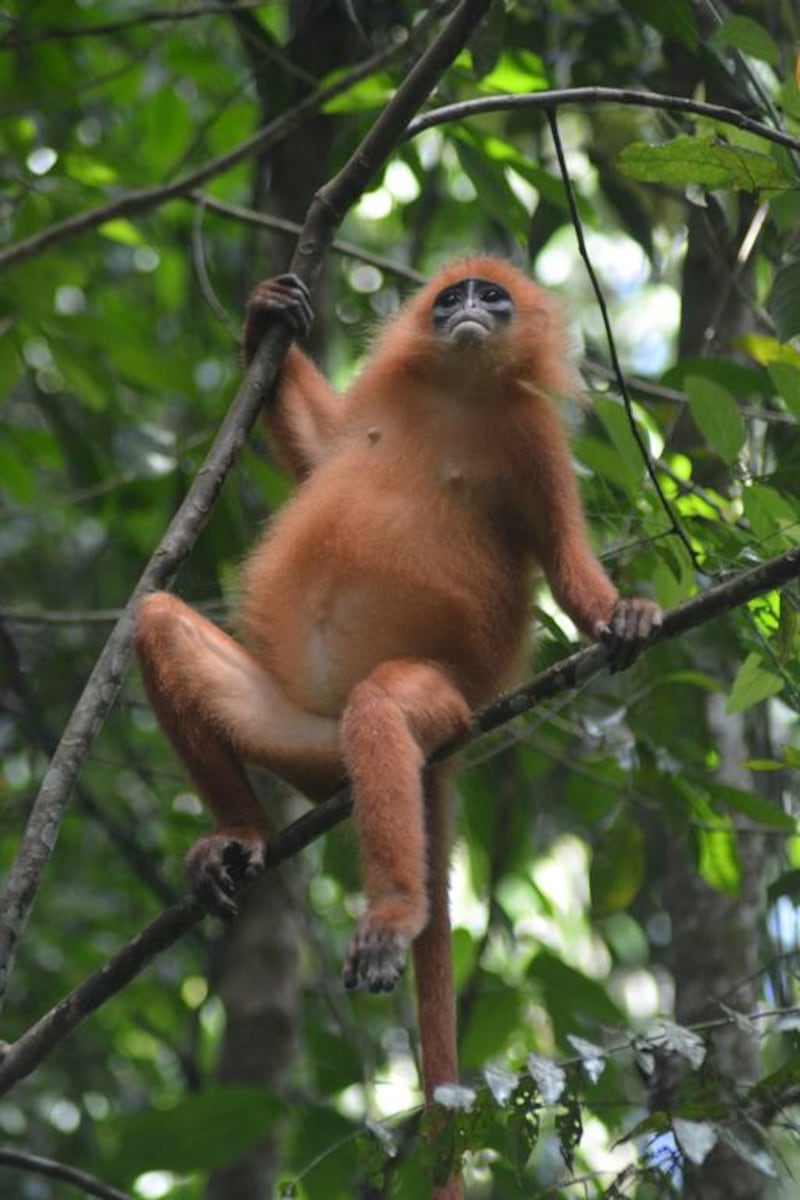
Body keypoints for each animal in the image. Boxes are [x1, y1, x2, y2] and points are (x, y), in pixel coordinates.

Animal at [137, 258, 662, 1195]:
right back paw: (240, 833)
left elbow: (565, 559)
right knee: (157, 620)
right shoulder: (387, 399)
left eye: (492, 298)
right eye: (452, 297)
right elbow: (325, 450)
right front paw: (265, 318)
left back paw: (393, 916)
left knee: (380, 708)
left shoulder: (533, 436)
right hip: (299, 735)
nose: (464, 313)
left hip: (438, 706)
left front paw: (621, 615)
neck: (457, 390)